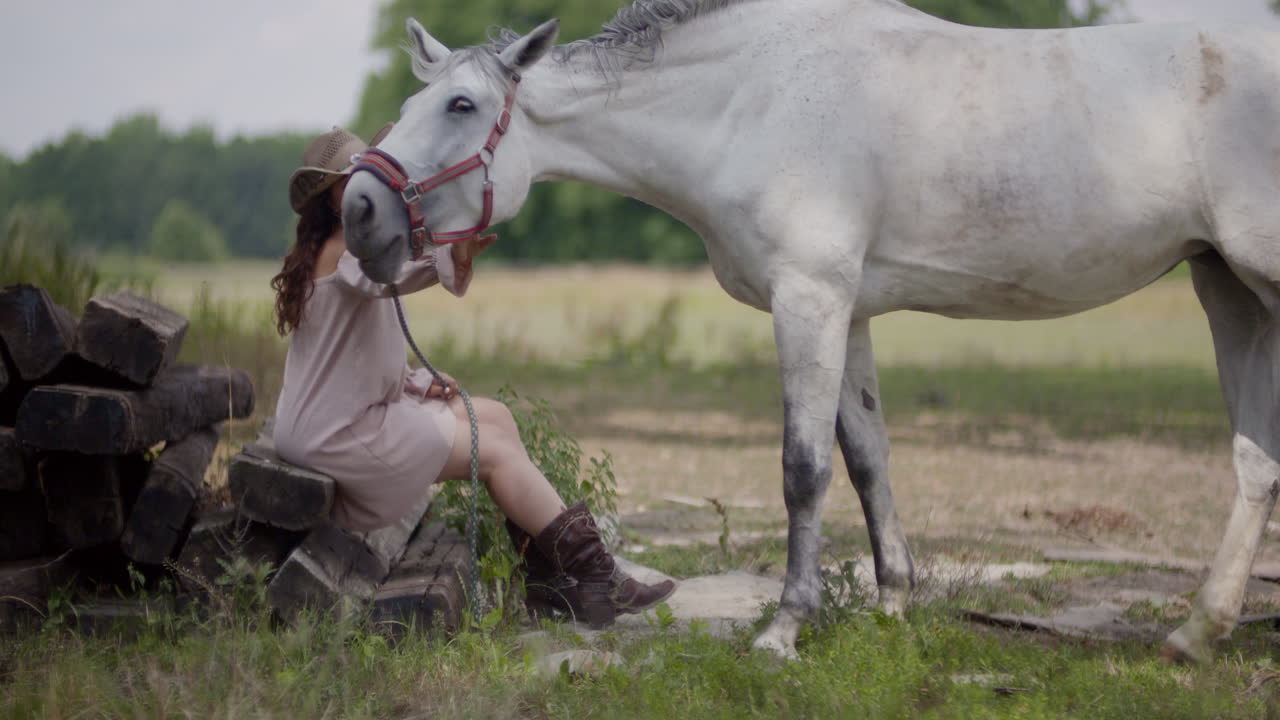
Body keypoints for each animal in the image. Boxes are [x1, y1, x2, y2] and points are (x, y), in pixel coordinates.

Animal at [340, 0, 1280, 663]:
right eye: (413, 99)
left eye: (462, 104)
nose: (358, 208)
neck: (752, 101)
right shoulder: (849, 311)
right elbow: (867, 460)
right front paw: (894, 606)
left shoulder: (810, 301)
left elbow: (804, 468)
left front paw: (785, 627)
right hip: (1228, 290)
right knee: (1254, 464)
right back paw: (1197, 632)